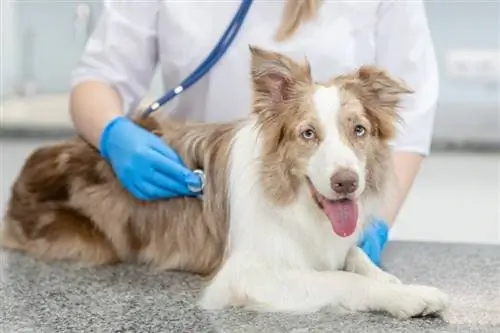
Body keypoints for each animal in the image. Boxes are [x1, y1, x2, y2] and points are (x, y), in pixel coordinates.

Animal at [0, 45, 452, 318]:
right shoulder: (245, 275)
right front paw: (405, 296)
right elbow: (341, 279)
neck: (296, 202)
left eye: (358, 130)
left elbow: (357, 258)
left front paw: (396, 282)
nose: (346, 183)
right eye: (308, 134)